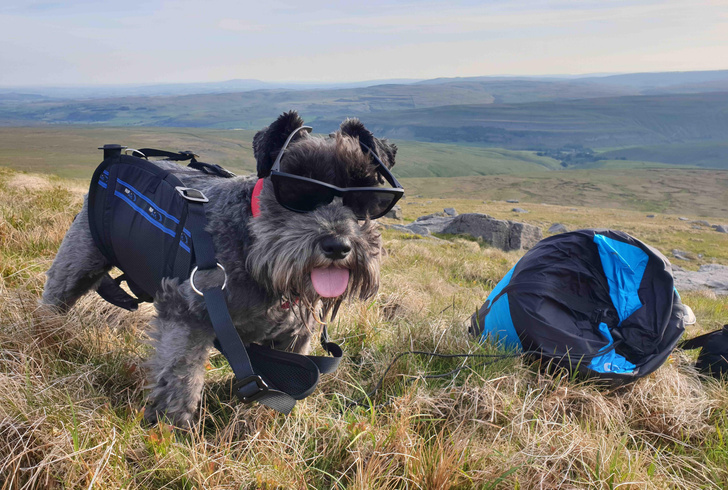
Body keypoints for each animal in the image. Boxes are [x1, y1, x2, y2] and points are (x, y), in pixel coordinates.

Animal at [41, 111, 398, 424]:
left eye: (368, 196)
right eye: (297, 189)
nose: (338, 245)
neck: (252, 248)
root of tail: (117, 156)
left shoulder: (293, 340)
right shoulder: (187, 321)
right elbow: (180, 384)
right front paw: (172, 436)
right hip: (75, 267)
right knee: (54, 301)